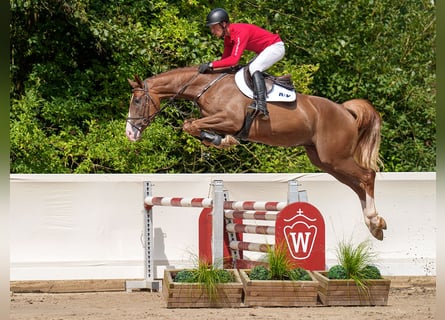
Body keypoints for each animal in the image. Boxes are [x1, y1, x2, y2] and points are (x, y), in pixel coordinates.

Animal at [125, 65, 386, 240]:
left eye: (137, 101)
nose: (130, 133)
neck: (206, 87)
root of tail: (345, 111)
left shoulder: (229, 119)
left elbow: (190, 124)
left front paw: (222, 141)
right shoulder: (218, 120)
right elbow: (192, 125)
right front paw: (221, 141)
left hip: (336, 157)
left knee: (367, 176)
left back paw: (374, 218)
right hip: (325, 161)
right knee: (357, 185)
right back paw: (374, 224)